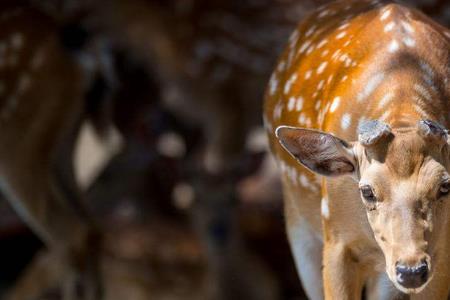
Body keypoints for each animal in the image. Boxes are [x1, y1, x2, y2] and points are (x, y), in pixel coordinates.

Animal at [264, 1, 450, 298]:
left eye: (445, 186)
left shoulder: (443, 251)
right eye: (367, 190)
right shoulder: (337, 238)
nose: (411, 271)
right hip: (298, 221)